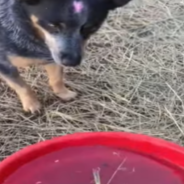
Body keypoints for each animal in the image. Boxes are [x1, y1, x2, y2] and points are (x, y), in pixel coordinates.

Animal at [0, 0, 132, 113]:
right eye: (52, 25)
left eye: (90, 27)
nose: (72, 61)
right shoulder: (4, 65)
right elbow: (22, 87)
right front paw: (32, 104)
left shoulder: (53, 56)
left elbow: (57, 78)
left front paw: (64, 93)